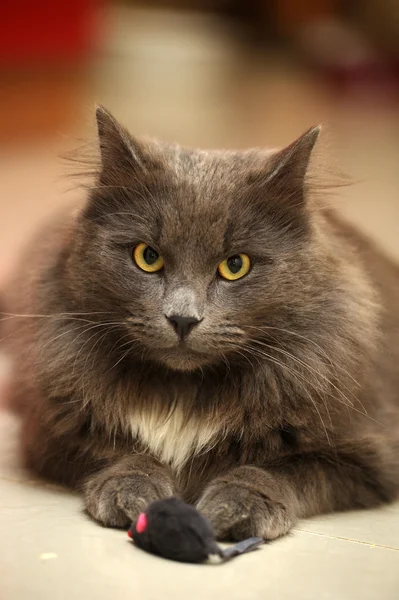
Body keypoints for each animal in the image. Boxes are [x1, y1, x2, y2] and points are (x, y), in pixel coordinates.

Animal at [1, 105, 398, 540]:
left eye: (236, 265)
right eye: (147, 257)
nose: (183, 318)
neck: (184, 391)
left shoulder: (372, 452)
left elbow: (283, 470)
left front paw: (237, 505)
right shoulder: (50, 433)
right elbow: (116, 452)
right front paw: (134, 490)